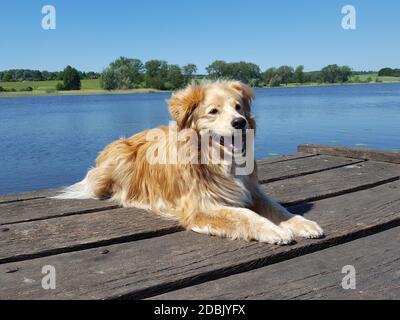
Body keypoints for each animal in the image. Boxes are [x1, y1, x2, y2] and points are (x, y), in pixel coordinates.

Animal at [55, 80, 324, 245]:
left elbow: (278, 208)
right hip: (119, 160)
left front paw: (301, 223)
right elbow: (244, 215)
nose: (240, 122)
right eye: (213, 111)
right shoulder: (200, 206)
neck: (217, 160)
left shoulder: (251, 190)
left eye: (238, 107)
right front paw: (274, 230)